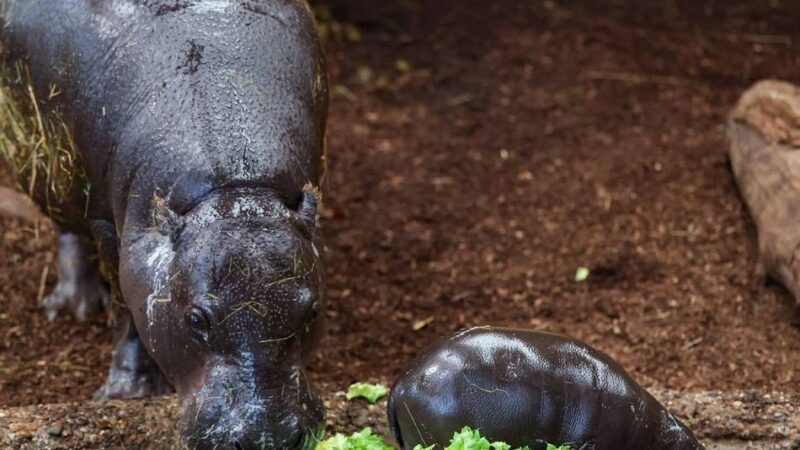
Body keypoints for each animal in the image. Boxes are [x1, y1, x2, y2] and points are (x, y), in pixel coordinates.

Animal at [0, 1, 328, 449]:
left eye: (312, 312)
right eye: (196, 320)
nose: (266, 438)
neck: (235, 190)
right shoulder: (109, 226)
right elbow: (129, 313)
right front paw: (126, 393)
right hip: (50, 172)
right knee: (69, 232)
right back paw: (75, 307)